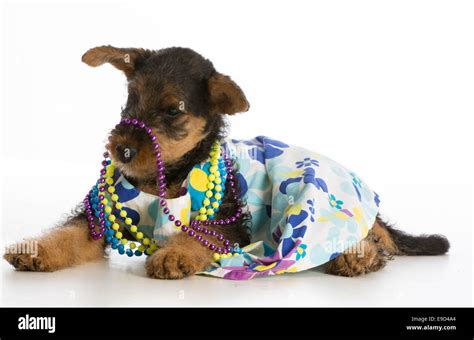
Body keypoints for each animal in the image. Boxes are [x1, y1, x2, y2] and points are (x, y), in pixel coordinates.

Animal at [2, 45, 448, 278]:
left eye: (174, 109)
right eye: (131, 97)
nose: (122, 150)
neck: (161, 179)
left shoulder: (227, 222)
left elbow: (201, 235)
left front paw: (176, 255)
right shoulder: (98, 217)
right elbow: (67, 235)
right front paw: (34, 250)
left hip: (313, 200)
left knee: (361, 237)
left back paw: (356, 257)